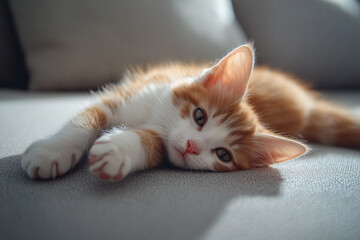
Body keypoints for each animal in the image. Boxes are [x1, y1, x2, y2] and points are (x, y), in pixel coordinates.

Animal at [21, 43, 360, 180]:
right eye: (200, 116)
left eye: (223, 155)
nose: (191, 146)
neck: (156, 117)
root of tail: (305, 107)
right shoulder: (134, 92)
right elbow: (86, 120)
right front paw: (52, 151)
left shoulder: (161, 144)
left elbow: (149, 145)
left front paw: (117, 151)